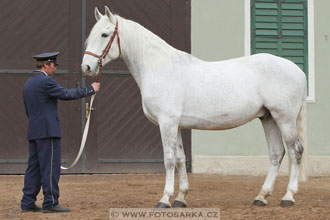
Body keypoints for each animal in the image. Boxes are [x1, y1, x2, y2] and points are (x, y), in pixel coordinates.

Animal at [81, 5, 308, 208]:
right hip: (268, 118)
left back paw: (288, 197)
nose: (87, 67)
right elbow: (180, 159)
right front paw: (181, 198)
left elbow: (169, 159)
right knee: (277, 153)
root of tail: (298, 71)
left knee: (295, 151)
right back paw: (261, 196)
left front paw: (165, 199)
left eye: (104, 34)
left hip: (284, 118)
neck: (160, 67)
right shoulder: (177, 125)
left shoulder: (167, 123)